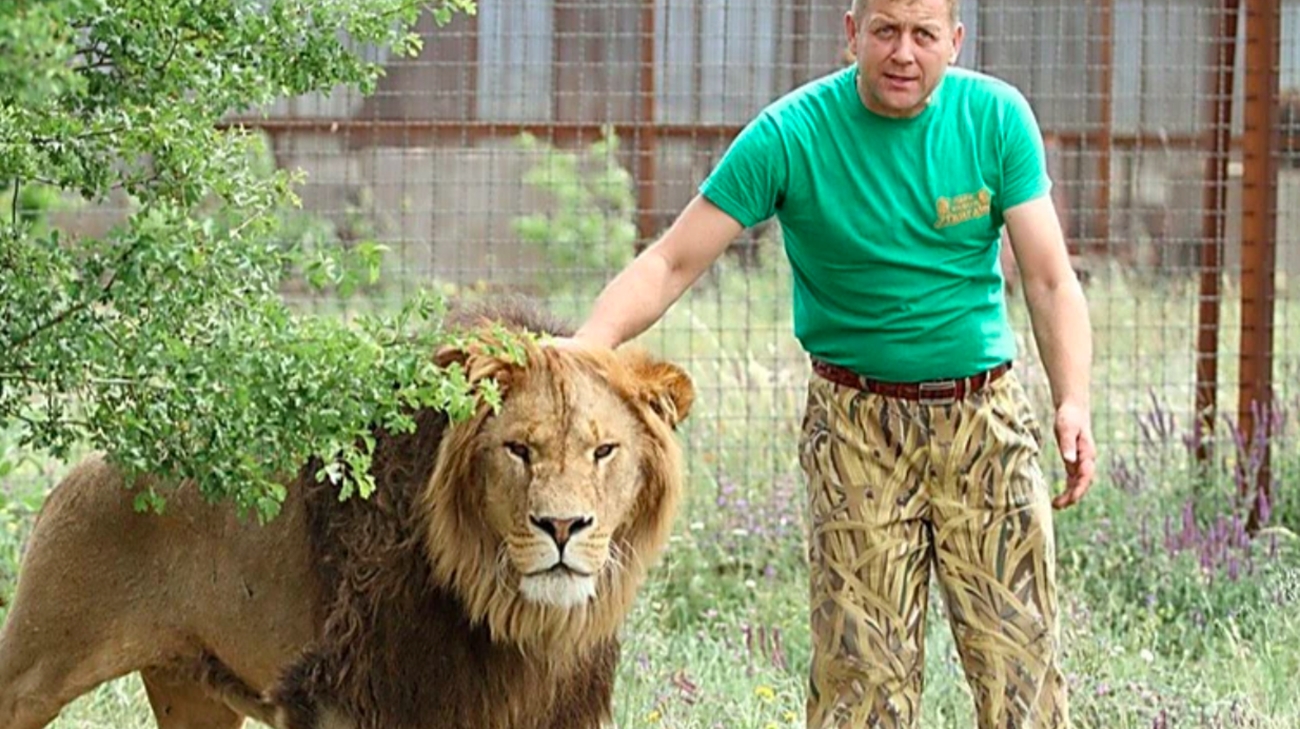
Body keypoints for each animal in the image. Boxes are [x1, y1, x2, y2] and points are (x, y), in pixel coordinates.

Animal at [0, 305, 695, 729]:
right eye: (518, 449)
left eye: (604, 451)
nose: (562, 528)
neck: (512, 618)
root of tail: (82, 473)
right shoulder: (347, 703)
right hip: (35, 667)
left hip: (192, 693)